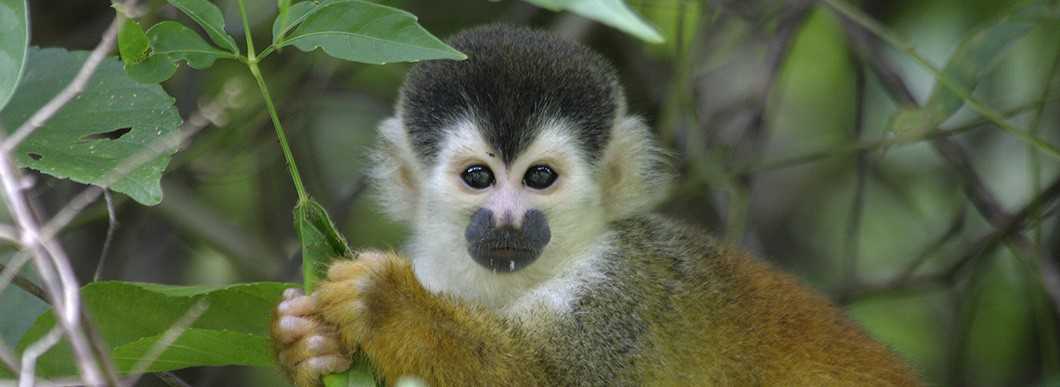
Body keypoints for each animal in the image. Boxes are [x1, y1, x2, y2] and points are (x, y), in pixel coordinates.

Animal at [271, 24, 920, 385]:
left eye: (540, 177)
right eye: (479, 177)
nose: (507, 220)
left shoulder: (620, 294)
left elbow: (544, 379)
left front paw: (388, 305)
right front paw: (305, 345)